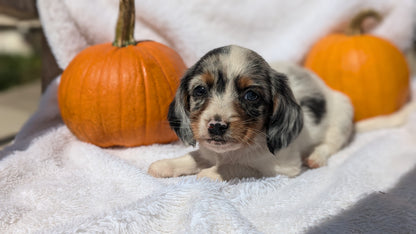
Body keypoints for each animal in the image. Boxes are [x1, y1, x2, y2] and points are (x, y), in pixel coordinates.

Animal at [148, 45, 352, 181]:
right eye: (200, 90)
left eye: (251, 95)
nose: (216, 126)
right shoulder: (209, 152)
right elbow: (194, 157)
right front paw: (166, 165)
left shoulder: (279, 168)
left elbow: (237, 166)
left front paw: (210, 173)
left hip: (342, 115)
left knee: (330, 145)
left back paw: (316, 158)